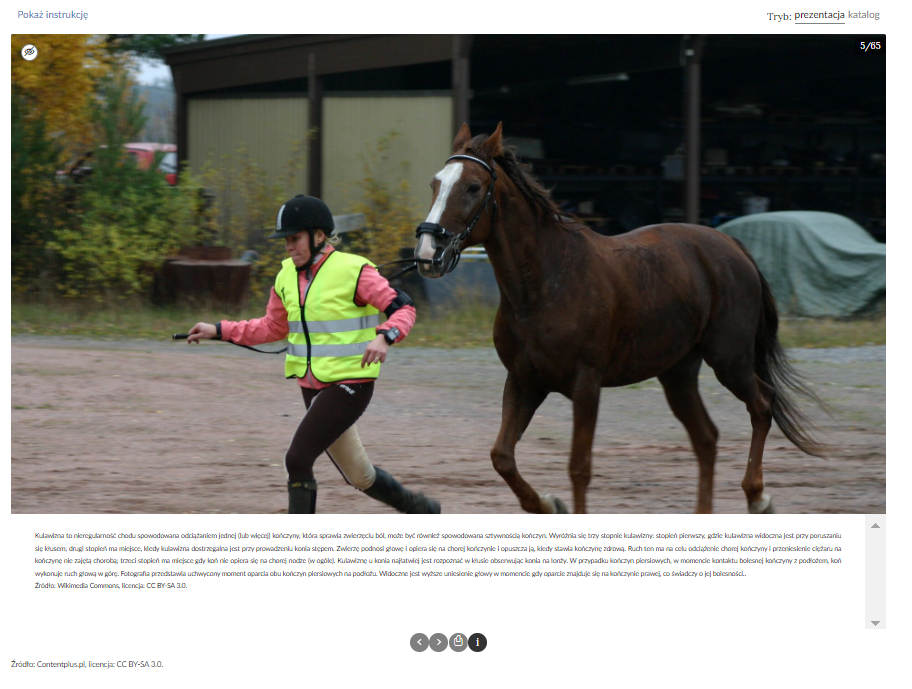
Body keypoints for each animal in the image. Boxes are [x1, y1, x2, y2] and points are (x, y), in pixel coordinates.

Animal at [416, 123, 824, 512]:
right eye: (435, 183)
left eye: (473, 186)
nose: (427, 252)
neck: (546, 282)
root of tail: (732, 246)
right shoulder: (524, 382)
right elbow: (502, 457)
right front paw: (548, 504)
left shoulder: (586, 385)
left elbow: (579, 468)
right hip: (678, 374)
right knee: (707, 438)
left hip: (730, 361)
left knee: (762, 405)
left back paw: (757, 497)